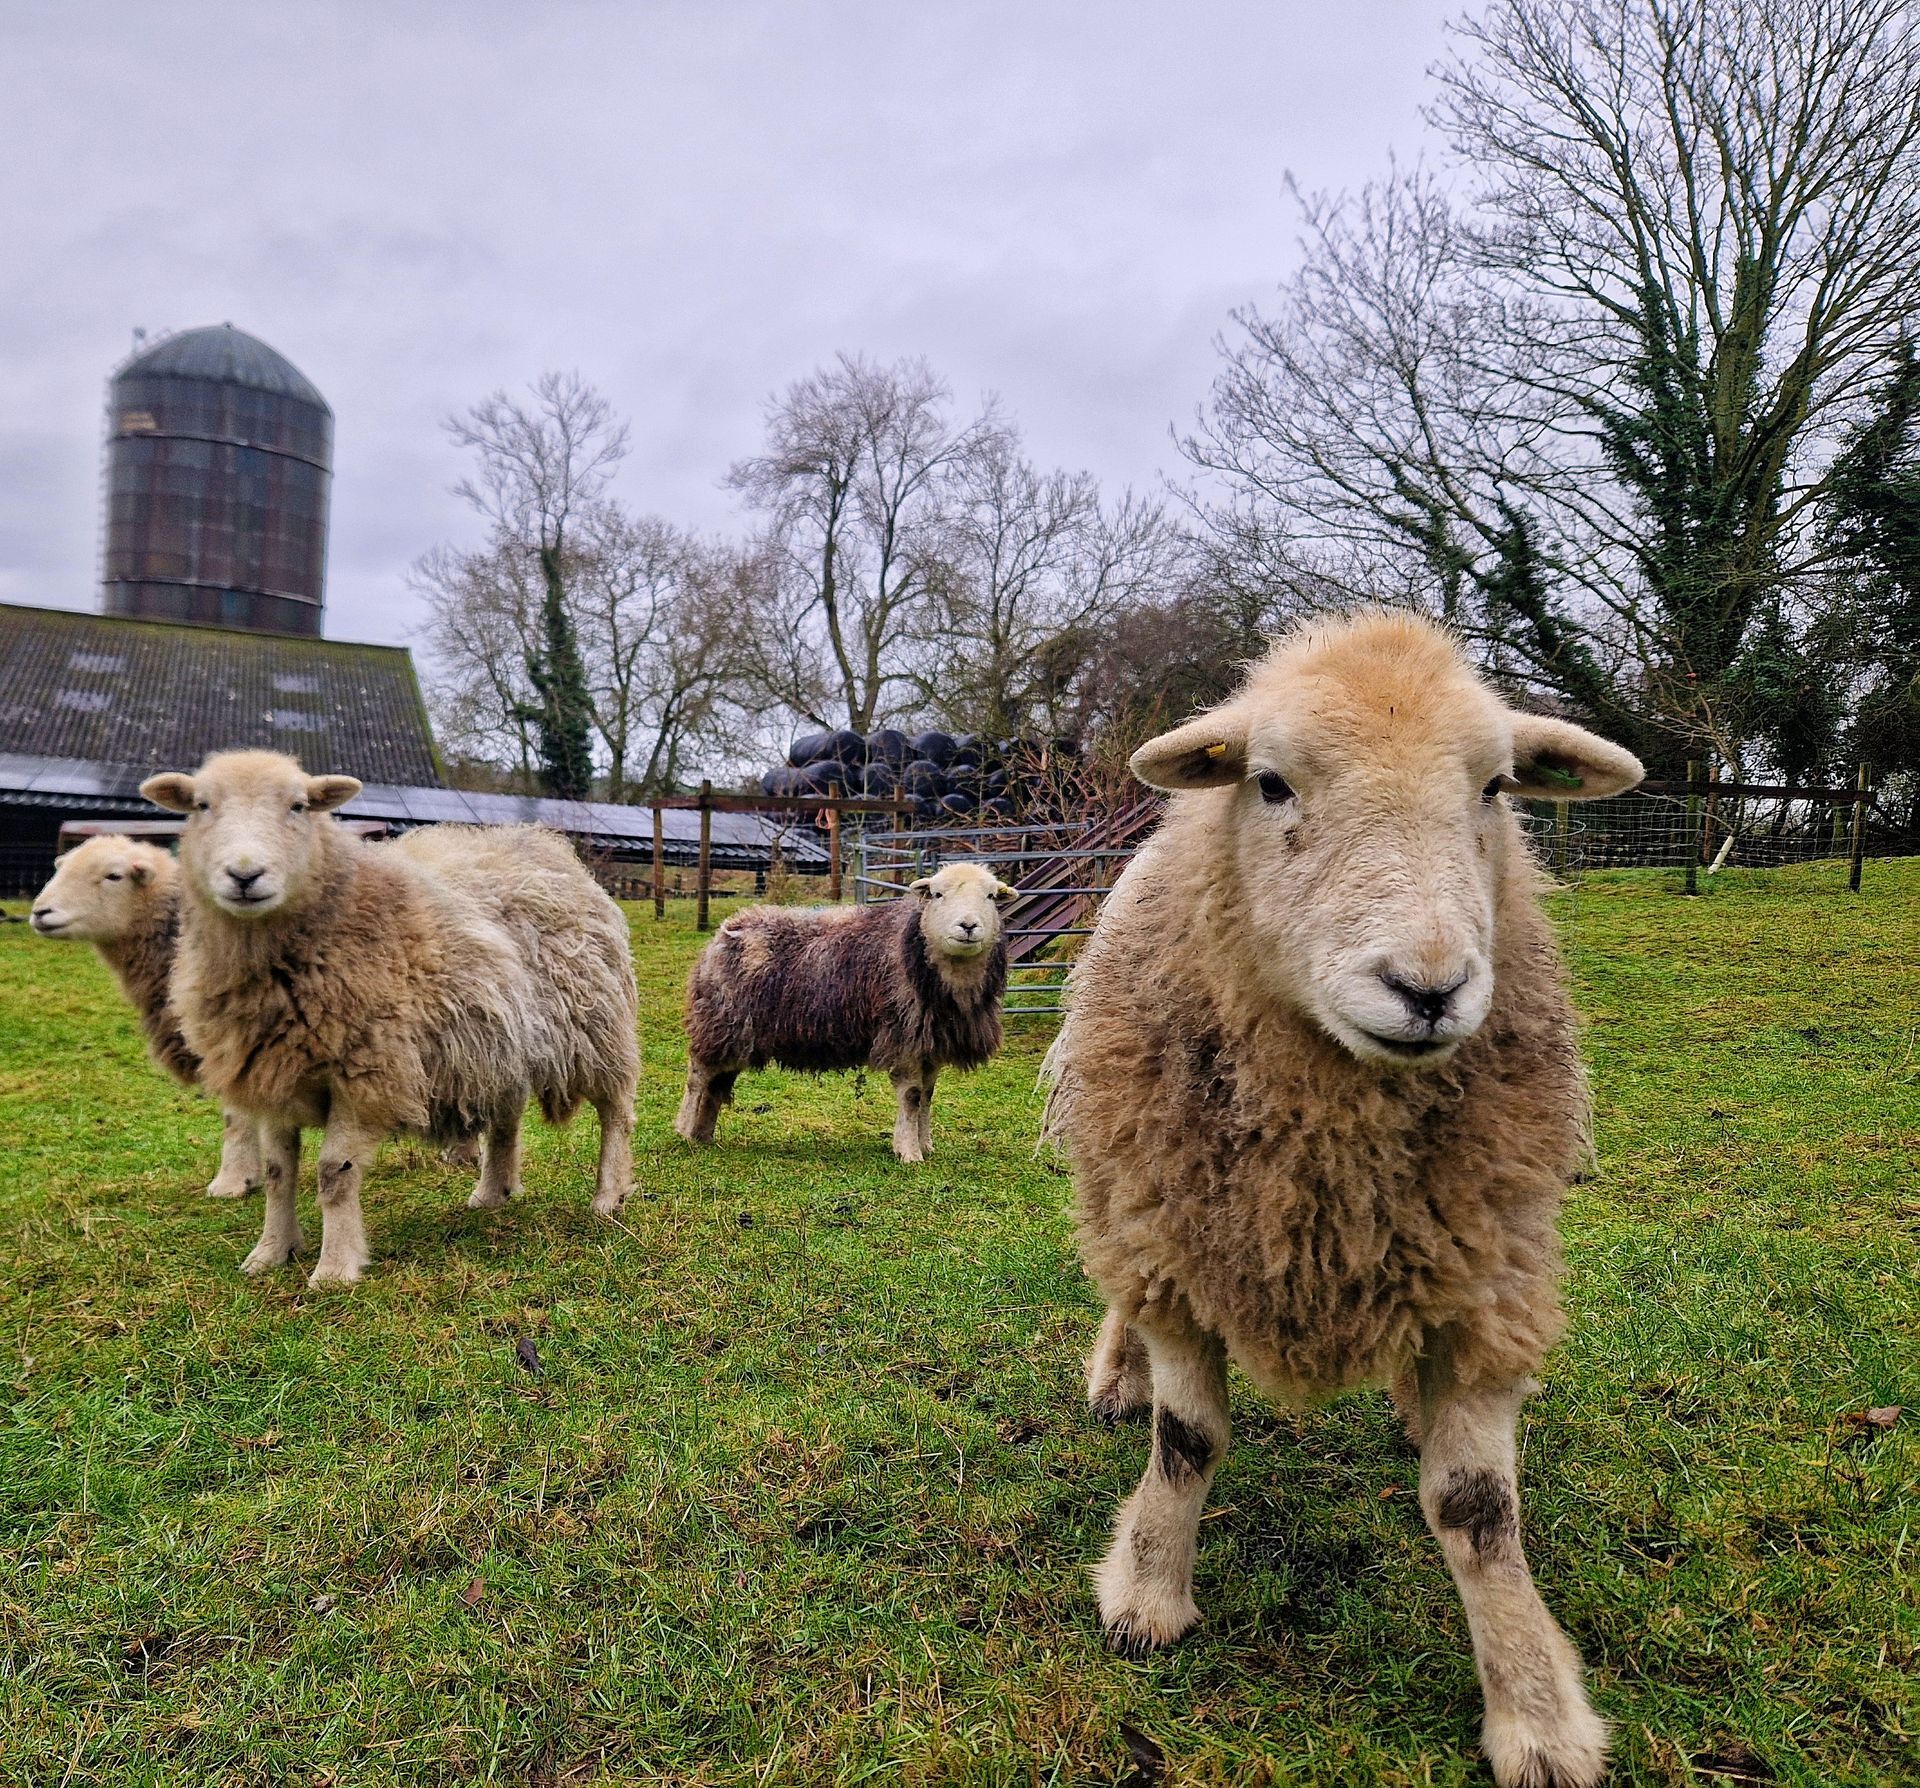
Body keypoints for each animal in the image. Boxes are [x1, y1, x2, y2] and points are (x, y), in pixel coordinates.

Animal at [140, 750, 640, 1287]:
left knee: (615, 1112)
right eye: (201, 805)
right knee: (506, 1120)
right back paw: (492, 1194)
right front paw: (271, 1252)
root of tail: (547, 845)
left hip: (595, 1025)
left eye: (298, 805)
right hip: (498, 1042)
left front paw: (334, 1269)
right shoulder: (274, 1073)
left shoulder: (366, 1073)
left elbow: (333, 1172)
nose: (245, 875)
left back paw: (608, 1196)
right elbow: (277, 1172)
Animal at [675, 862, 1016, 1162]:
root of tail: (728, 927)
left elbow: (927, 1096)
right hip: (719, 1020)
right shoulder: (902, 1037)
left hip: (735, 1033)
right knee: (698, 1077)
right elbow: (912, 1096)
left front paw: (925, 1144)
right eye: (938, 894)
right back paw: (684, 1131)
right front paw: (909, 1153)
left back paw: (703, 1135)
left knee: (717, 1082)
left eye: (990, 896)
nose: (968, 926)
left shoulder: (929, 1043)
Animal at [1043, 611, 1643, 1788]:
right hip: (1123, 1177)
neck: (1332, 1145)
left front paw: (1536, 1713)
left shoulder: (1489, 1270)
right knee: (1124, 1292)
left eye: (1497, 787)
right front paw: (1147, 1592)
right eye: (1271, 783)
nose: (1428, 988)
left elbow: (1477, 1507)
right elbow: (1188, 1439)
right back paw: (1118, 1374)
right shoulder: (1184, 1239)